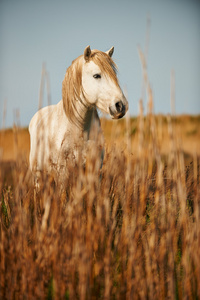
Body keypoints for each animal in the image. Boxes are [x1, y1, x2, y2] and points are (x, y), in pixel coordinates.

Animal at [28, 46, 128, 182]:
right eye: (96, 75)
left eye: (114, 74)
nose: (120, 106)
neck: (79, 130)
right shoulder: (62, 173)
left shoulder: (94, 171)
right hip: (38, 175)